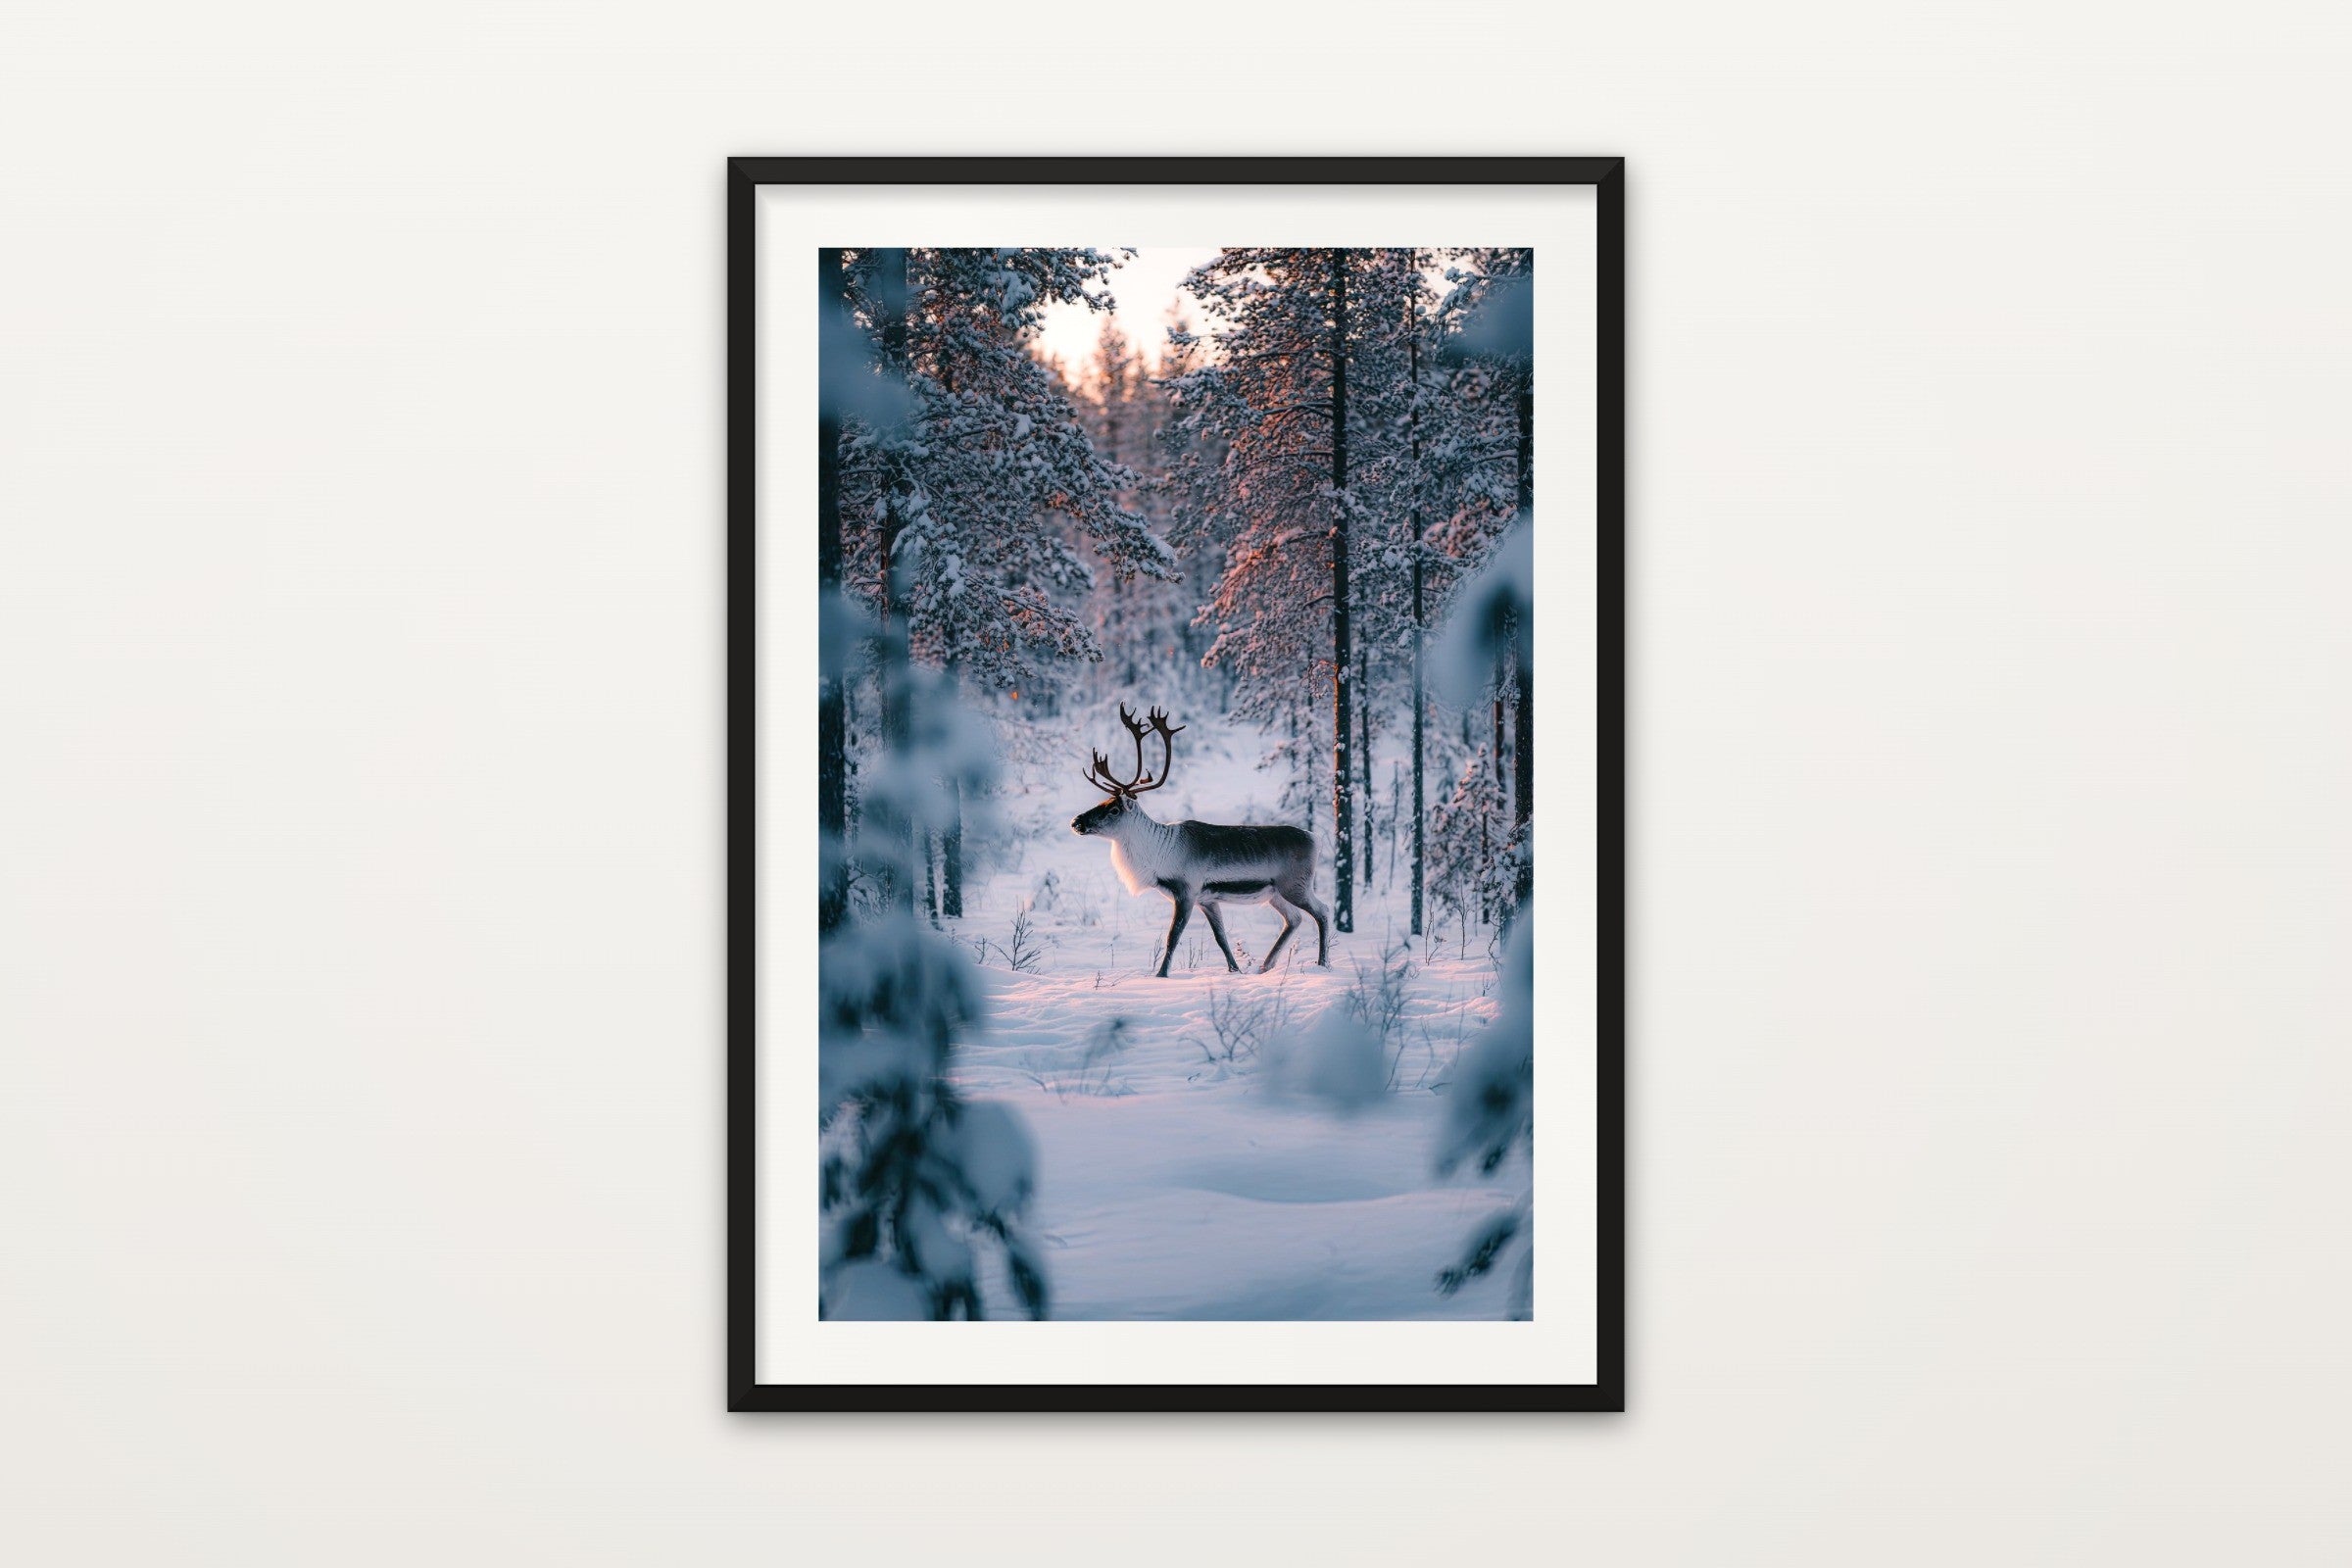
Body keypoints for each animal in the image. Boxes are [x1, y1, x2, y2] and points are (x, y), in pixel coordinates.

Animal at [1071, 705, 1331, 978]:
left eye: (1113, 810)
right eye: (1102, 801)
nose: (1076, 822)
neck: (1157, 854)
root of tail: (1315, 838)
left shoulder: (1187, 891)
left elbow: (1173, 937)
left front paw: (1161, 975)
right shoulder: (1207, 899)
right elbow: (1221, 938)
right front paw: (1235, 971)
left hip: (1296, 886)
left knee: (1323, 912)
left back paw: (1322, 963)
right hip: (1275, 893)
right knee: (1294, 918)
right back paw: (1265, 966)